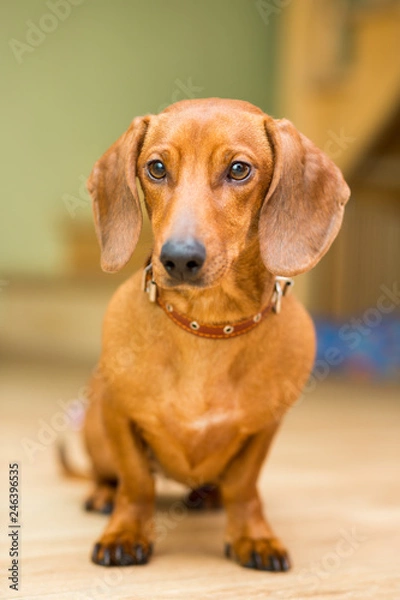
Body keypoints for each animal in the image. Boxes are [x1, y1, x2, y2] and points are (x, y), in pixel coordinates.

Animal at [82, 98, 350, 572]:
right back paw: (102, 493)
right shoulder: (118, 415)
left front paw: (252, 535)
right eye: (156, 167)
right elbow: (137, 482)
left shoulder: (264, 427)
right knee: (108, 474)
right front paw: (126, 531)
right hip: (94, 429)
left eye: (239, 169)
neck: (206, 325)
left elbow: (243, 487)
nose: (178, 258)